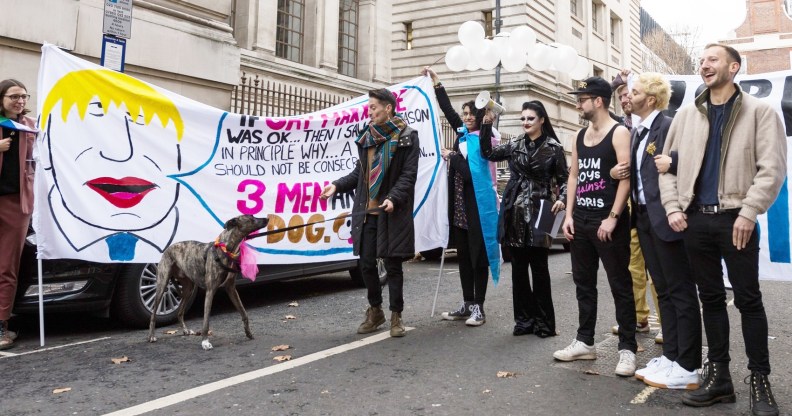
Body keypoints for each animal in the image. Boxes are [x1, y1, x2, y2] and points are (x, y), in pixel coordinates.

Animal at [148, 216, 270, 350]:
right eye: (251, 218)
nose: (267, 219)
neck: (226, 248)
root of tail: (167, 249)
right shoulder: (210, 290)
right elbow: (206, 321)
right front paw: (205, 341)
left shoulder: (231, 288)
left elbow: (244, 313)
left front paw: (248, 333)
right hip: (162, 285)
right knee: (153, 314)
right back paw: (151, 336)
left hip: (189, 289)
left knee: (180, 312)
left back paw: (185, 330)